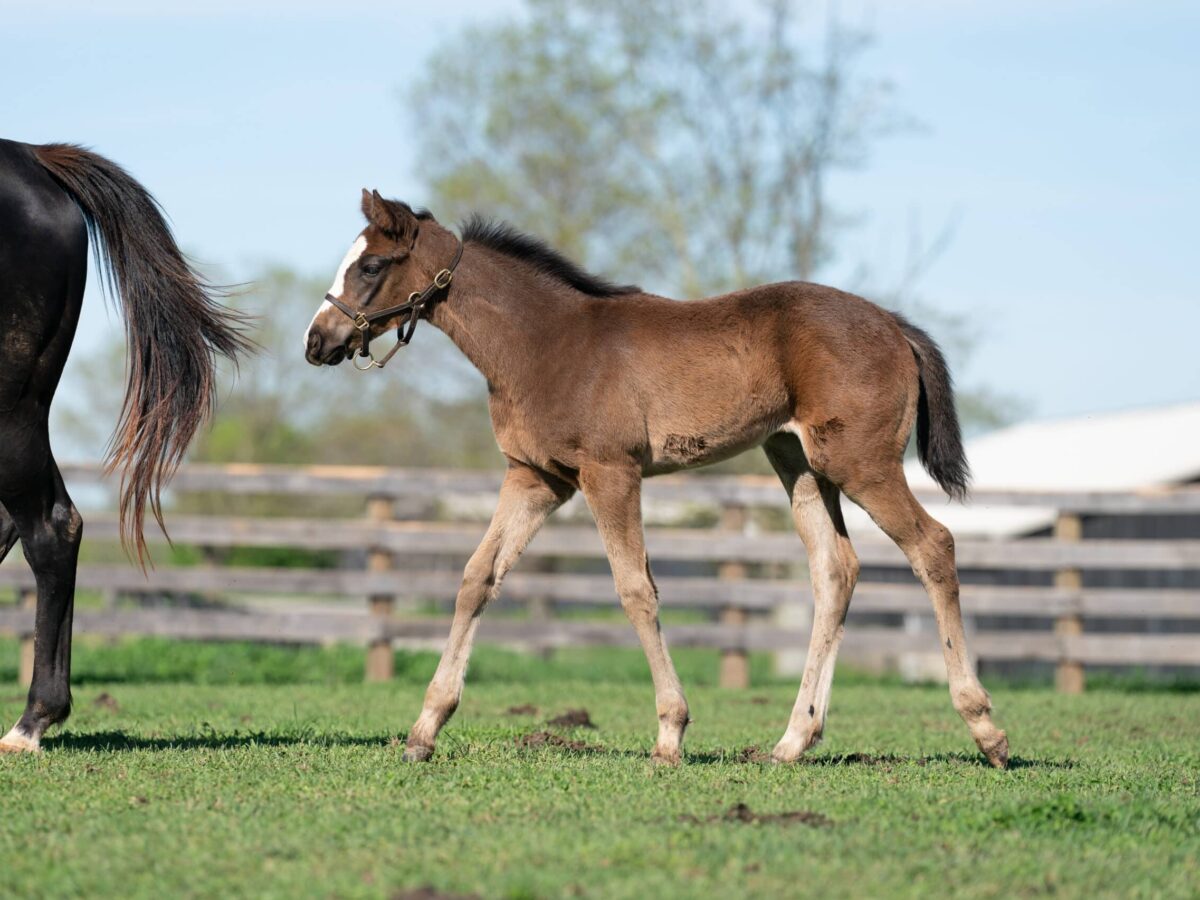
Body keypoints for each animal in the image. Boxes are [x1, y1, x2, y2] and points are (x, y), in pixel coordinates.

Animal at [304, 190, 1008, 768]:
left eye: (371, 267)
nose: (317, 342)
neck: (543, 343)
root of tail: (893, 324)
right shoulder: (535, 478)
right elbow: (477, 578)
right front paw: (424, 730)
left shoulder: (610, 472)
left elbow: (636, 590)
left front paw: (670, 734)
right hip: (800, 462)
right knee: (836, 571)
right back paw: (792, 741)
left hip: (860, 463)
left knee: (933, 545)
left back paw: (986, 731)